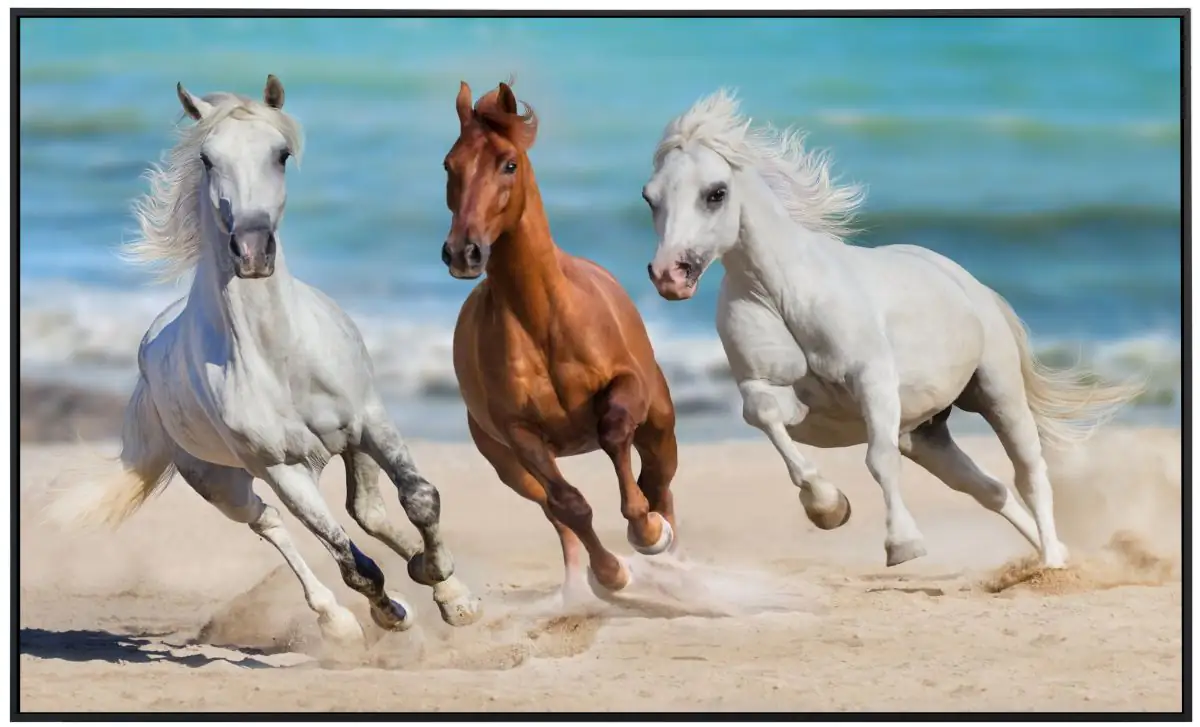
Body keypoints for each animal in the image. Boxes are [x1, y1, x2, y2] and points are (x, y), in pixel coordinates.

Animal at [45, 76, 482, 644]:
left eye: (281, 154)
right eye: (207, 158)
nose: (252, 251)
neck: (282, 357)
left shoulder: (369, 421)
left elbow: (419, 498)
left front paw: (449, 591)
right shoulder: (283, 468)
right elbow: (350, 561)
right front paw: (391, 613)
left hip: (347, 444)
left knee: (367, 511)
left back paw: (439, 585)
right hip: (221, 482)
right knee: (269, 522)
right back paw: (339, 621)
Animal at [440, 81, 680, 604]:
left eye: (509, 163)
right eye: (449, 165)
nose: (463, 252)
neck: (542, 320)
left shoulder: (627, 387)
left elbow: (614, 434)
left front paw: (646, 532)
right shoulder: (520, 436)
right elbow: (570, 504)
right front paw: (611, 575)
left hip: (660, 420)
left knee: (660, 477)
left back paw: (666, 546)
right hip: (509, 467)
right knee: (554, 510)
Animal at [643, 90, 1142, 569]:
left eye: (716, 193)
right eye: (651, 197)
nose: (669, 275)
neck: (782, 295)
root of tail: (972, 286)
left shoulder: (874, 381)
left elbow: (878, 460)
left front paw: (902, 545)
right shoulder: (773, 394)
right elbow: (765, 416)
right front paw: (829, 508)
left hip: (998, 394)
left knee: (1030, 473)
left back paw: (1054, 562)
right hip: (924, 435)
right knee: (990, 489)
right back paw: (1046, 556)